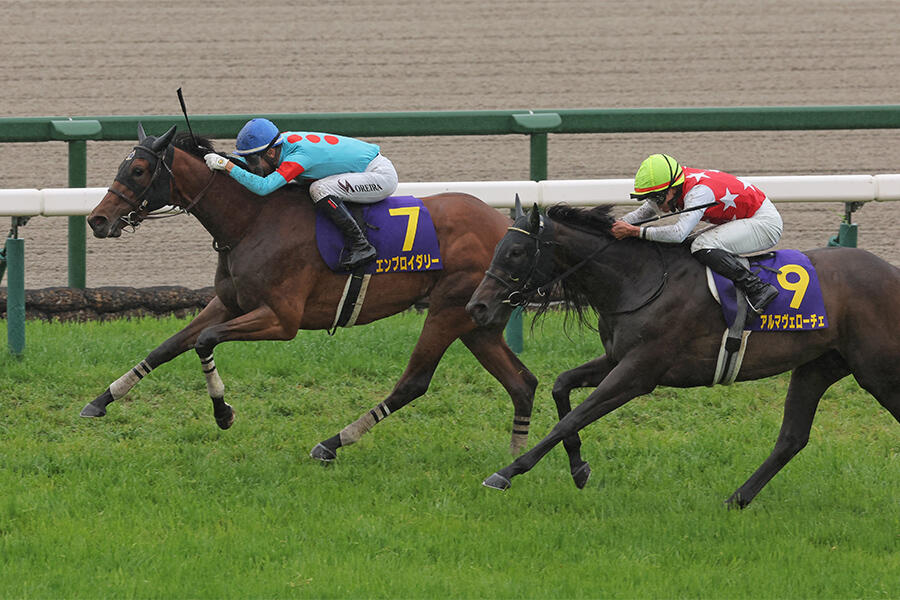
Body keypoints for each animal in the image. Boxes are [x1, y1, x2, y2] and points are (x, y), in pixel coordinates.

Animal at [81, 124, 538, 461]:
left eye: (139, 171)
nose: (97, 219)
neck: (252, 220)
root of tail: (507, 228)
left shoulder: (281, 319)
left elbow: (205, 342)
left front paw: (223, 413)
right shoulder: (228, 302)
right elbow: (168, 346)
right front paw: (101, 400)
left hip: (448, 309)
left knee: (414, 382)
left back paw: (333, 442)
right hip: (477, 320)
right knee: (523, 383)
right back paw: (515, 457)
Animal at [465, 201, 900, 508]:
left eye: (516, 251)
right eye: (499, 247)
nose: (477, 307)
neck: (640, 281)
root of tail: (892, 272)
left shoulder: (639, 373)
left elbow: (571, 418)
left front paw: (506, 472)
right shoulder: (617, 359)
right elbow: (561, 388)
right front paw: (579, 468)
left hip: (877, 370)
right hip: (819, 365)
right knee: (791, 439)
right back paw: (735, 500)